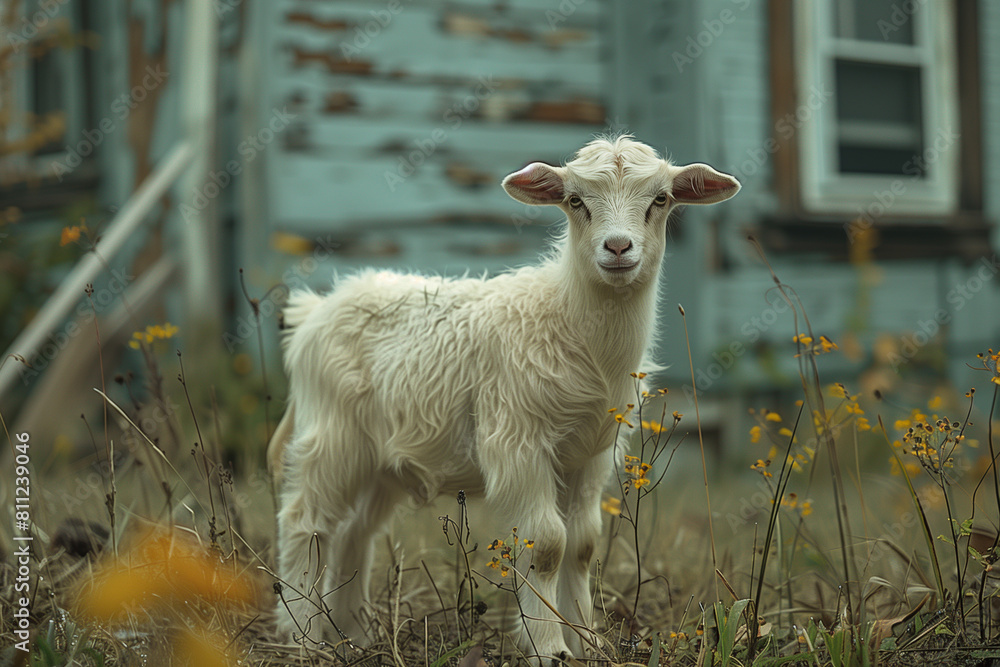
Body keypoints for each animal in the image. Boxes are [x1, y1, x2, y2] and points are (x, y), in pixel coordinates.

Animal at [269, 135, 740, 664]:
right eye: (575, 201)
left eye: (660, 199)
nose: (618, 248)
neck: (571, 325)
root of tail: (314, 310)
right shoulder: (519, 442)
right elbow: (548, 546)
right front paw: (549, 647)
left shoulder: (591, 455)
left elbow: (583, 546)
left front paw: (586, 640)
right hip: (332, 434)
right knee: (305, 522)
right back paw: (300, 632)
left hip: (381, 459)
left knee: (354, 533)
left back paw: (352, 633)